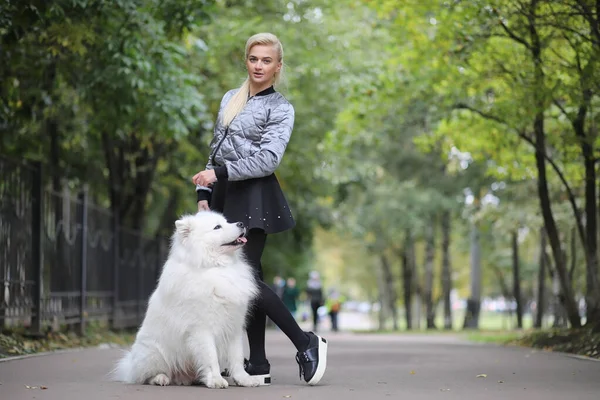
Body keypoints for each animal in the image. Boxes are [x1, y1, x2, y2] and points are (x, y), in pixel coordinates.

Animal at [113, 211, 262, 390]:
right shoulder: (202, 329)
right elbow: (211, 357)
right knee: (147, 376)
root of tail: (131, 366)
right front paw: (216, 380)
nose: (241, 223)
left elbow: (237, 357)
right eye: (217, 227)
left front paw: (244, 379)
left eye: (227, 221)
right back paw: (161, 379)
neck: (215, 267)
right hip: (155, 353)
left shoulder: (234, 326)